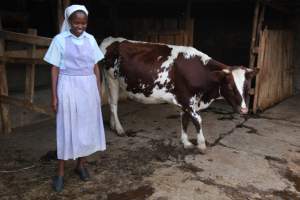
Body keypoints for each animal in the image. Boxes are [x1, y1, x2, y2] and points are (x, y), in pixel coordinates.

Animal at [99, 36, 258, 152]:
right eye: (230, 86)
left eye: (247, 86)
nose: (244, 109)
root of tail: (110, 39)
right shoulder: (187, 100)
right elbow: (197, 120)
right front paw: (201, 144)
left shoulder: (185, 101)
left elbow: (184, 120)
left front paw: (186, 142)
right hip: (112, 79)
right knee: (113, 105)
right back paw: (120, 129)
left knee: (113, 104)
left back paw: (113, 126)